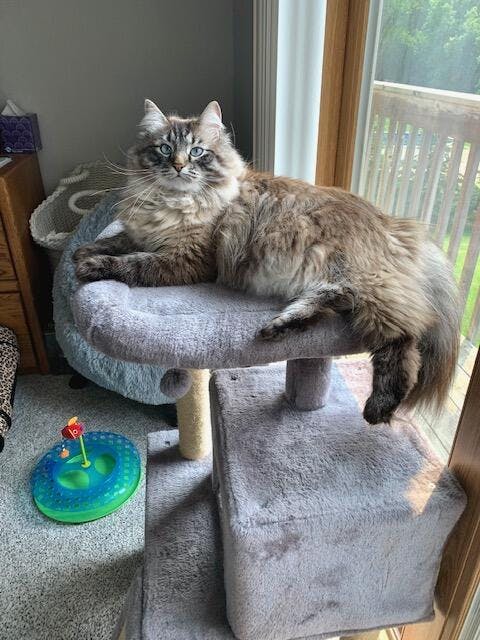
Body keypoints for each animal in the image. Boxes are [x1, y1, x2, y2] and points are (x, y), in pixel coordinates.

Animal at [74, 99, 459, 425]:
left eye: (197, 151)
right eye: (165, 149)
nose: (179, 166)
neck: (172, 203)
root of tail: (394, 223)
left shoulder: (187, 258)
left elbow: (134, 263)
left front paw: (91, 266)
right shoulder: (144, 234)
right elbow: (118, 241)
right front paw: (83, 251)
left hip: (367, 286)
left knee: (406, 337)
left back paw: (379, 408)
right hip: (338, 283)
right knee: (330, 303)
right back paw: (280, 327)